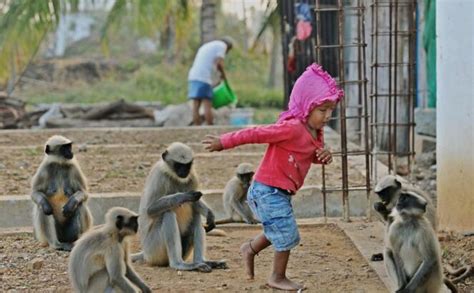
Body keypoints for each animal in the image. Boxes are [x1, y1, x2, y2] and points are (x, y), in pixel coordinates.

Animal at [131, 141, 228, 272]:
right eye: (178, 165)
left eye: (187, 165)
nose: (184, 172)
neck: (174, 177)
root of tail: (145, 253)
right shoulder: (159, 176)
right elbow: (149, 210)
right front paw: (184, 196)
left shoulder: (192, 176)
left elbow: (195, 203)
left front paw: (210, 214)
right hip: (153, 250)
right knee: (167, 213)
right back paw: (179, 264)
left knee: (195, 215)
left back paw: (202, 262)